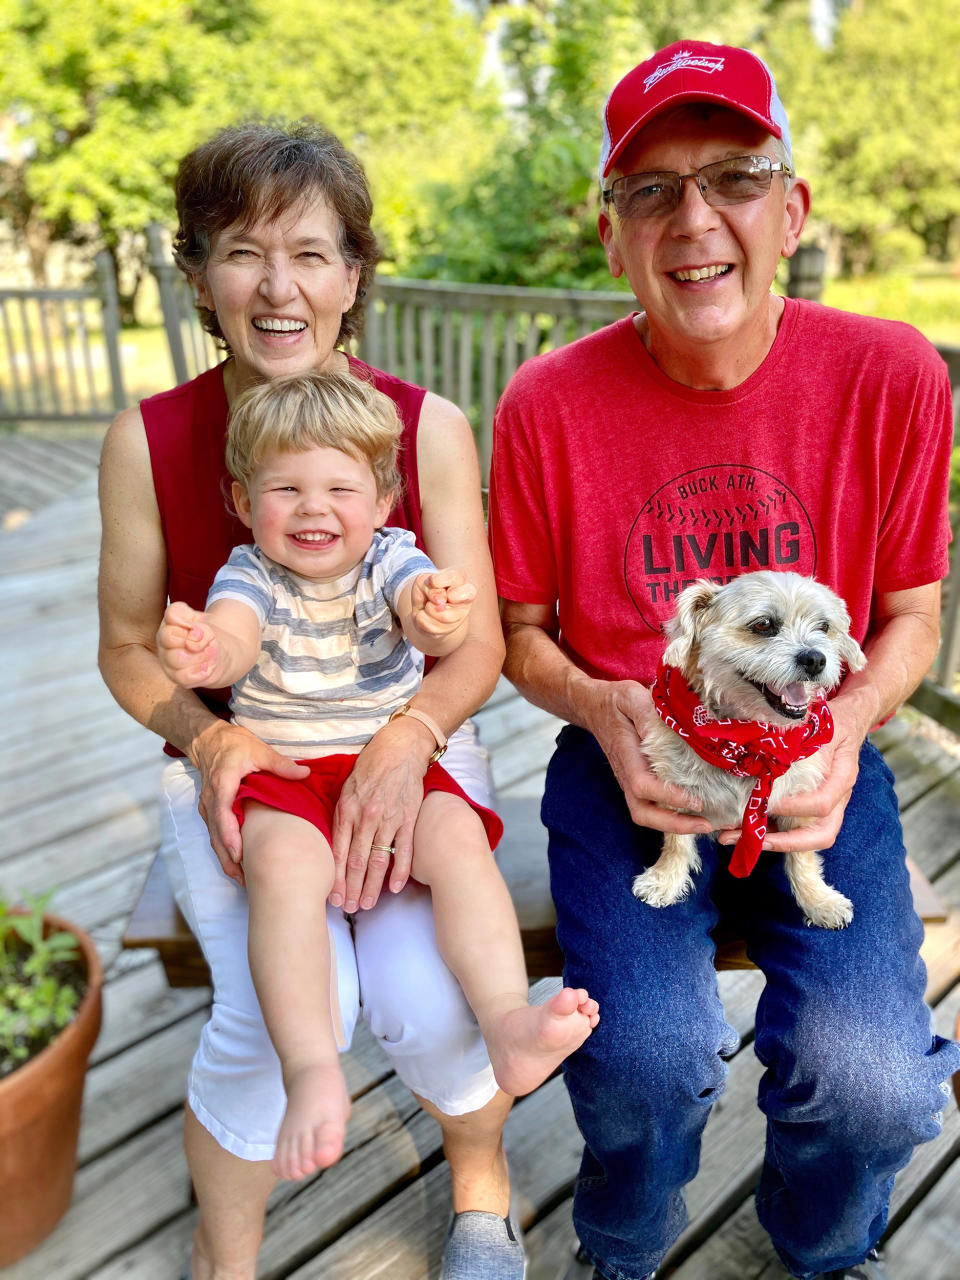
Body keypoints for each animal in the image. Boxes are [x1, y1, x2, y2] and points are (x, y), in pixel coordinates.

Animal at [634, 576, 870, 926]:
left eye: (824, 626)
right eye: (763, 625)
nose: (816, 659)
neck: (750, 743)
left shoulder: (800, 804)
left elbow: (803, 856)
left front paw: (818, 900)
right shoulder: (674, 794)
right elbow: (675, 842)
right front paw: (665, 880)